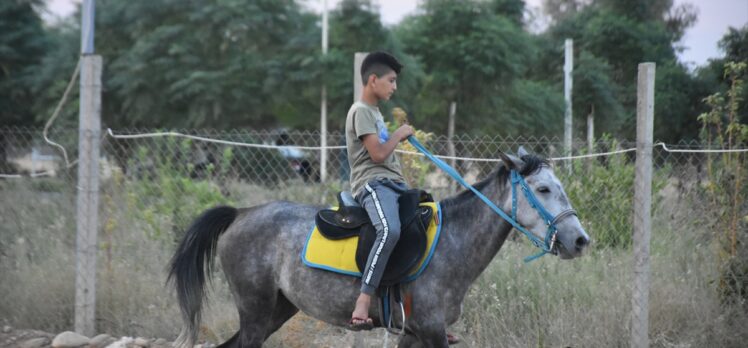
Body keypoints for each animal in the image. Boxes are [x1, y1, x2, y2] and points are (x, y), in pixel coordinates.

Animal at [168, 150, 592, 348]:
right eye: (543, 189)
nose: (579, 240)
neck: (453, 242)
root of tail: (240, 214)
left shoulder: (414, 333)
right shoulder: (432, 331)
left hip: (276, 310)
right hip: (256, 310)